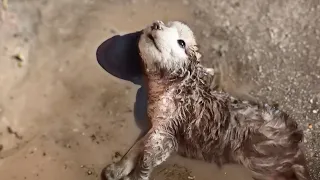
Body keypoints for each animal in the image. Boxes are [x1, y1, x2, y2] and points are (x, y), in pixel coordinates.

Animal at [104, 20, 312, 179]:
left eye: (181, 43)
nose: (156, 24)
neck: (171, 87)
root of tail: (295, 141)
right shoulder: (158, 127)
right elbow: (137, 148)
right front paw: (117, 169)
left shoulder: (166, 136)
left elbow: (145, 162)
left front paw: (133, 175)